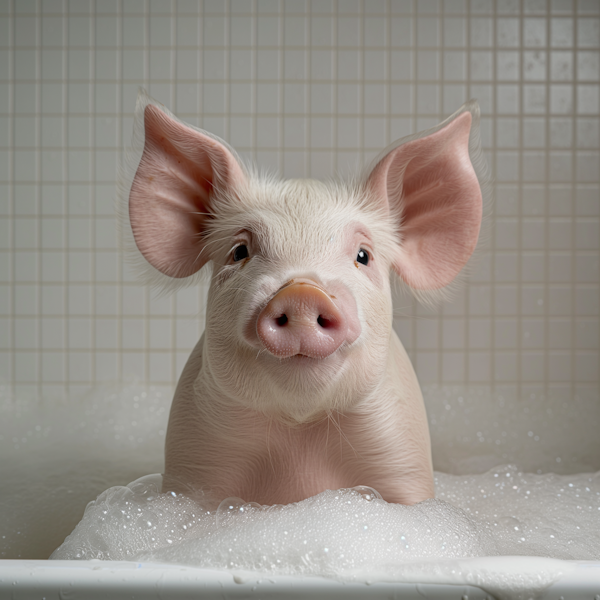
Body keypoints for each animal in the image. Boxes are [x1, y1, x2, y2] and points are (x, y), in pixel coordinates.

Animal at [124, 91, 486, 508]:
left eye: (363, 255)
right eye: (239, 251)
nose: (302, 292)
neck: (299, 441)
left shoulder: (403, 461)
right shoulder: (192, 460)